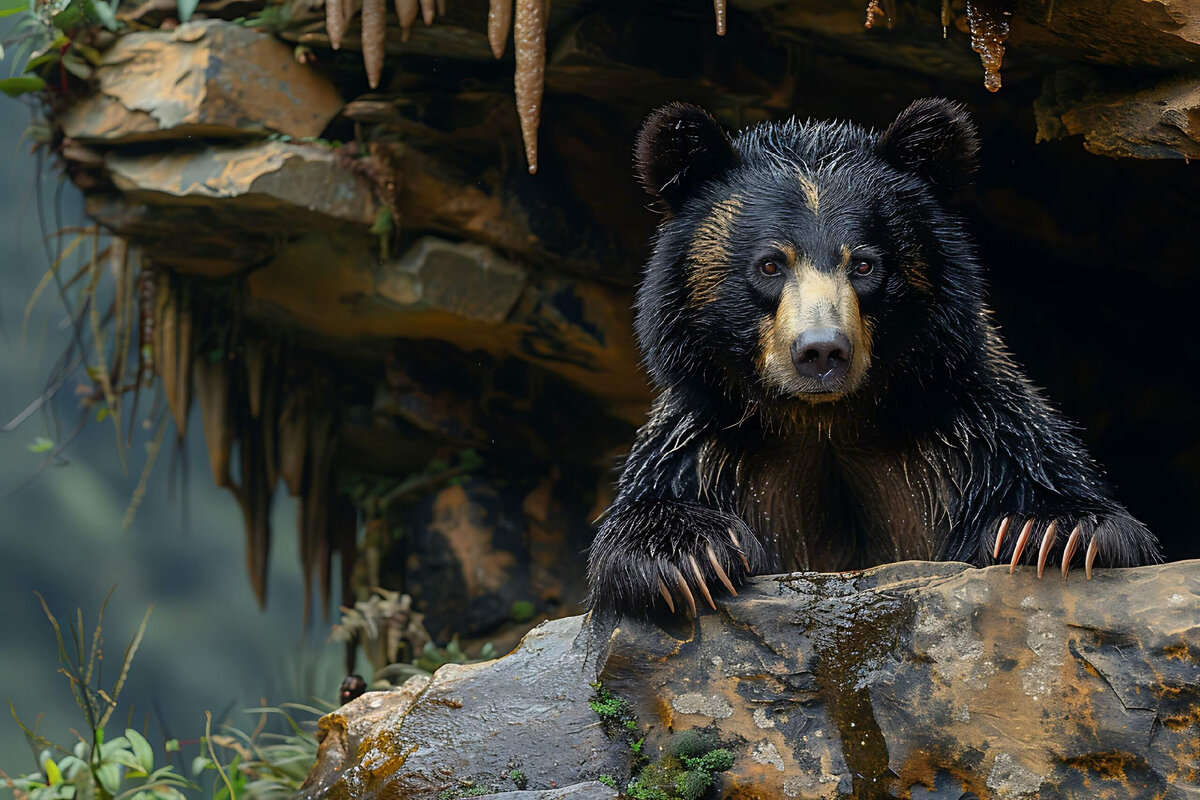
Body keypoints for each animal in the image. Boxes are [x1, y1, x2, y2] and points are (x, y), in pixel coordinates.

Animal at [585, 97, 1156, 618]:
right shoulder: (712, 448)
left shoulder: (971, 437)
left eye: (863, 263)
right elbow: (654, 502)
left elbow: (1058, 487)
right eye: (770, 264)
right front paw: (688, 554)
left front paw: (1045, 532)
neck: (826, 421)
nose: (821, 351)